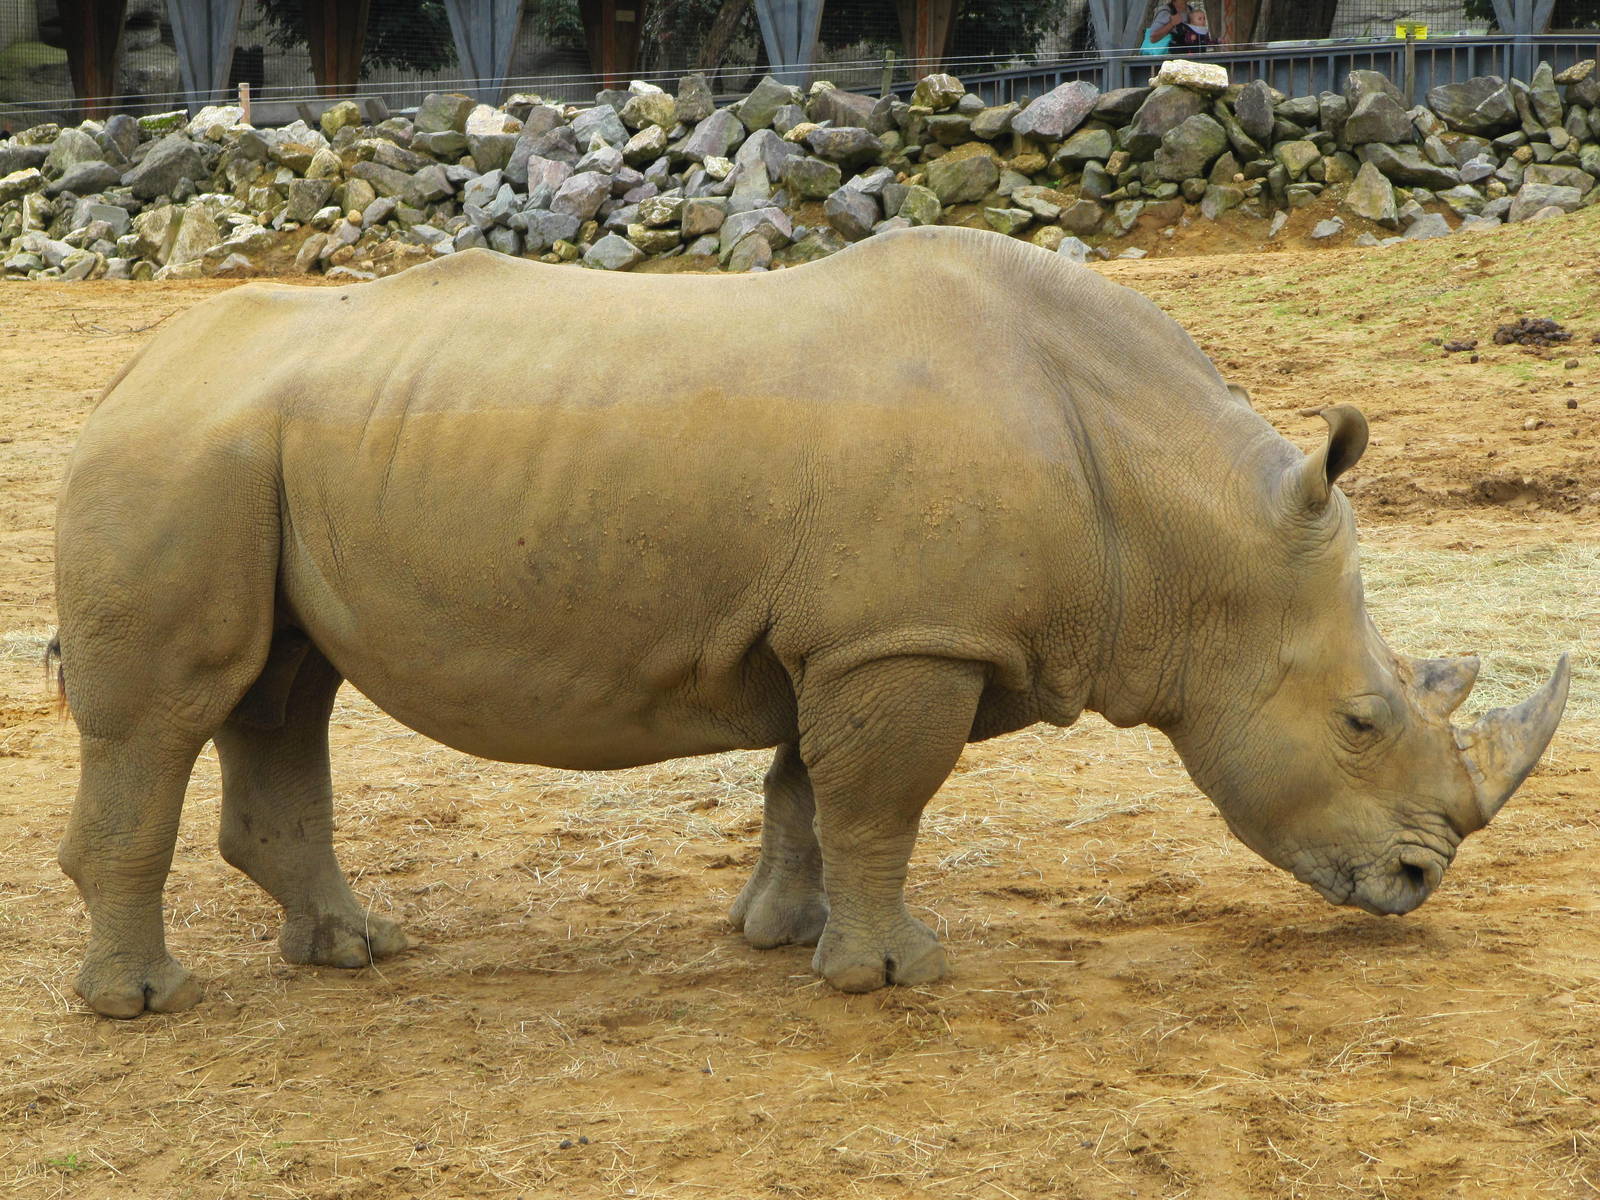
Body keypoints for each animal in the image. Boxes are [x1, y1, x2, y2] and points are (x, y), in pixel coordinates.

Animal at [52, 228, 1568, 1018]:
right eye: (1360, 721)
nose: (1418, 883)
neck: (1177, 517)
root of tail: (132, 369)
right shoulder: (906, 635)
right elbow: (882, 800)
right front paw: (893, 976)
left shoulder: (853, 632)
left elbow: (808, 791)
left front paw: (781, 936)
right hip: (178, 454)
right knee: (172, 713)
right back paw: (147, 1005)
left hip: (252, 450)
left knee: (280, 691)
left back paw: (353, 953)